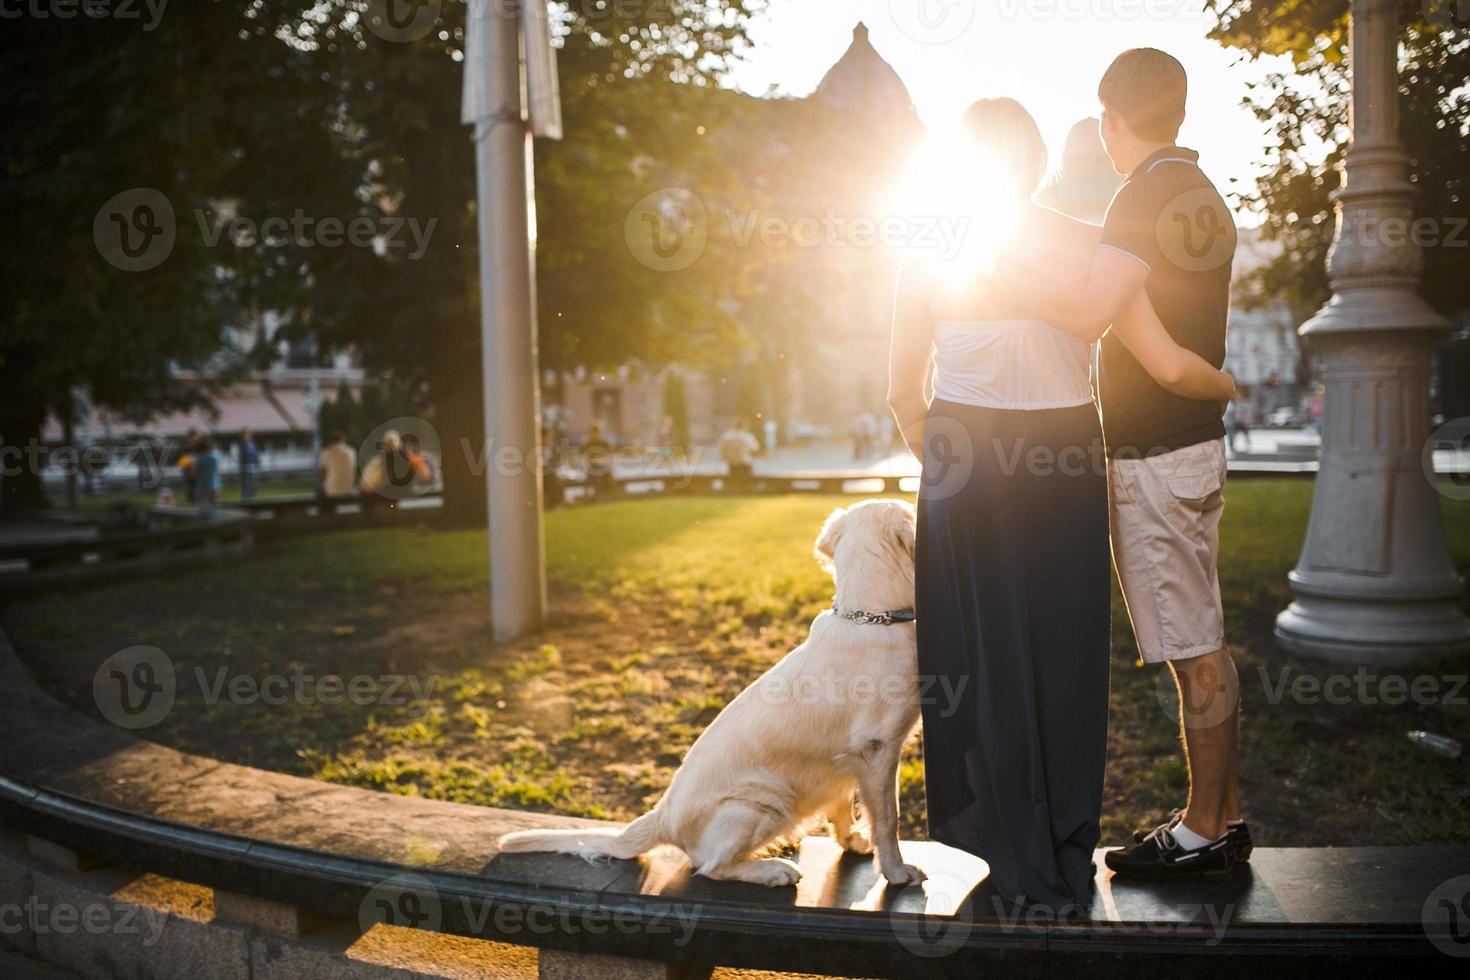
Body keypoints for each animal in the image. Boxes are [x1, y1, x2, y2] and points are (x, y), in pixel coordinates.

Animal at [499, 499, 923, 887]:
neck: (870, 618)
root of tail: (662, 816)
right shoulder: (878, 751)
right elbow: (889, 819)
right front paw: (896, 871)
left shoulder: (843, 763)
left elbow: (843, 808)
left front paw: (853, 842)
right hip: (763, 799)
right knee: (710, 868)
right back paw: (772, 870)